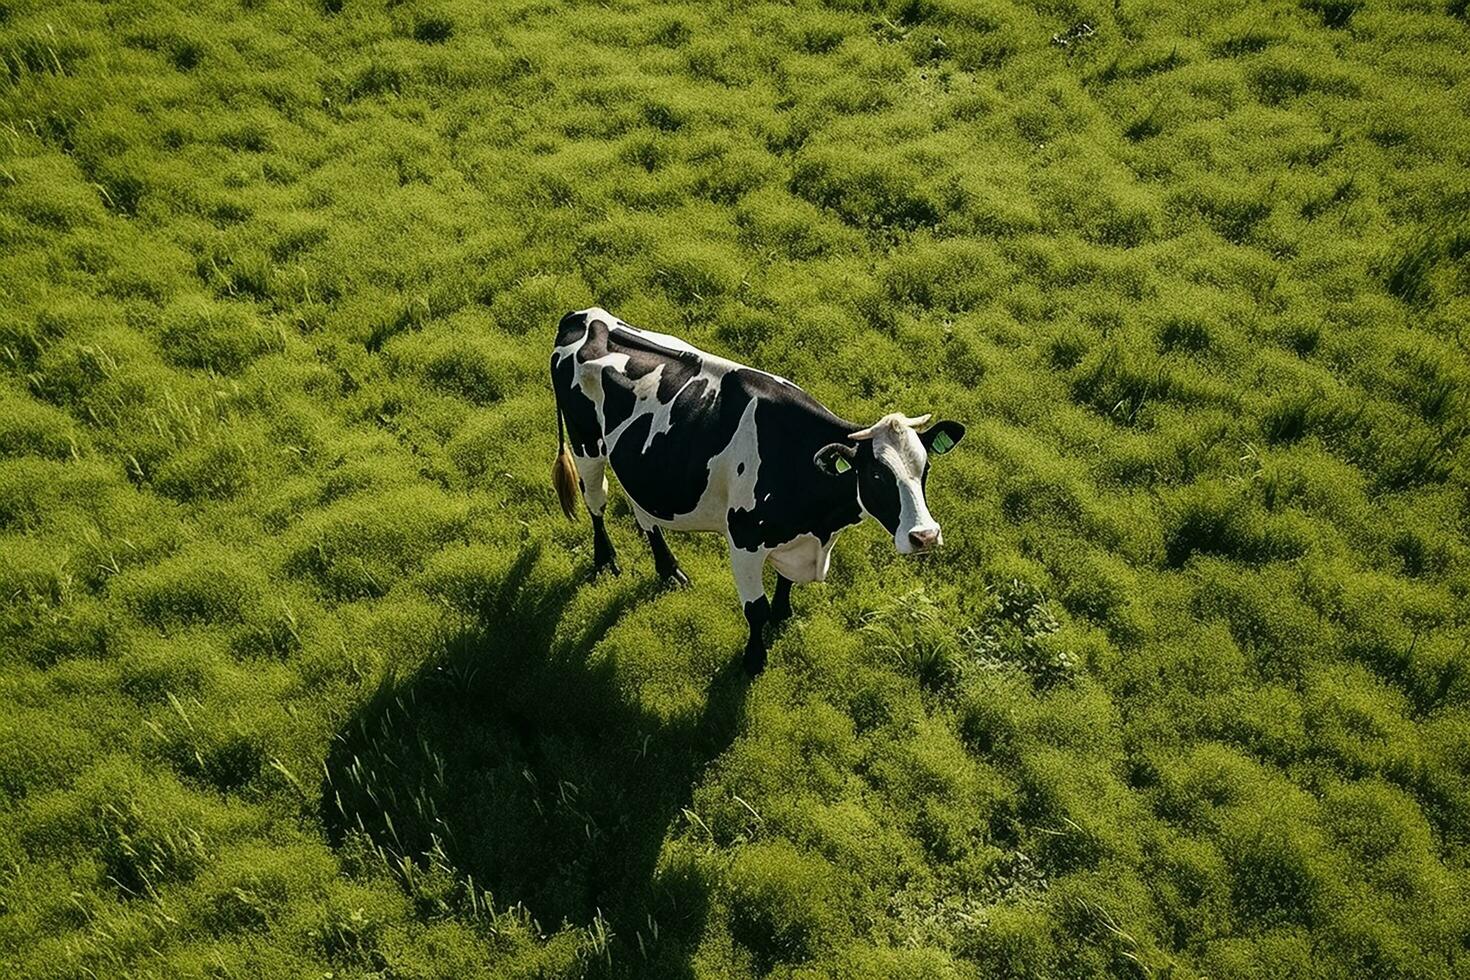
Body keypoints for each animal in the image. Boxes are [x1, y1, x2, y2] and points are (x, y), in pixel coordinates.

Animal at [552, 307, 964, 675]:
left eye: (925, 469)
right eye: (877, 476)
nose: (925, 536)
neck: (819, 527)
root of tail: (583, 317)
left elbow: (785, 583)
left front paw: (784, 613)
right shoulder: (744, 541)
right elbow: (756, 609)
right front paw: (754, 659)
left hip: (640, 465)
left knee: (643, 512)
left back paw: (669, 570)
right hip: (586, 442)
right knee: (596, 501)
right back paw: (606, 559)